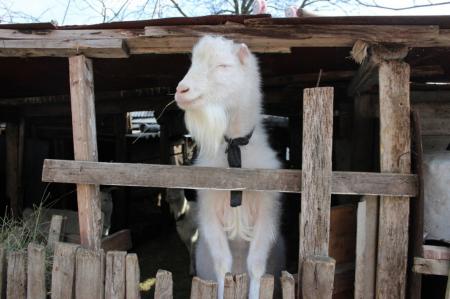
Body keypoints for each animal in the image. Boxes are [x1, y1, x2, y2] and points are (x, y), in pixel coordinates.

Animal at [174, 37, 284, 299]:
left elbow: (256, 266)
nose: (181, 90)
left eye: (223, 66)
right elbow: (222, 265)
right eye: (192, 63)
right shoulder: (209, 211)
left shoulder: (267, 211)